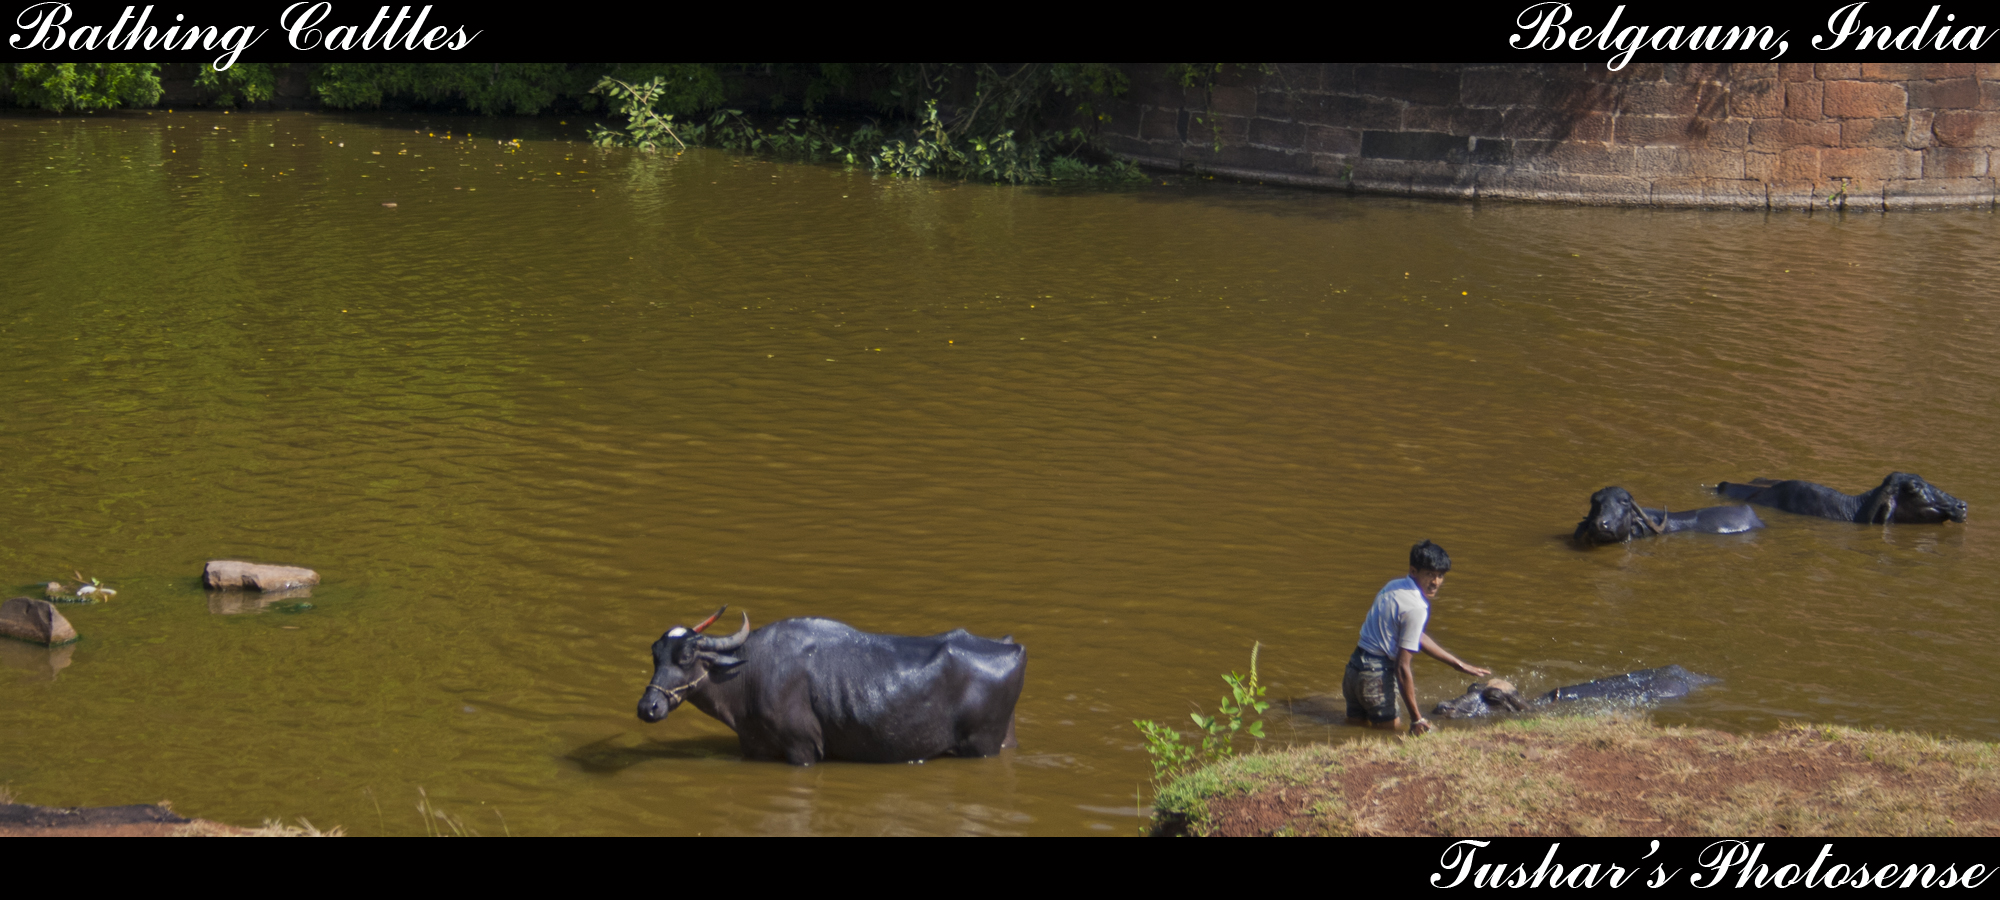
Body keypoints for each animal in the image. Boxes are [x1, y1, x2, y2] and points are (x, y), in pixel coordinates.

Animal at [632, 608, 1024, 764]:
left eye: (686, 656)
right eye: (655, 654)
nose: (647, 707)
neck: (750, 674)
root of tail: (1009, 647)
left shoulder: (802, 749)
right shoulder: (755, 747)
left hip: (981, 744)